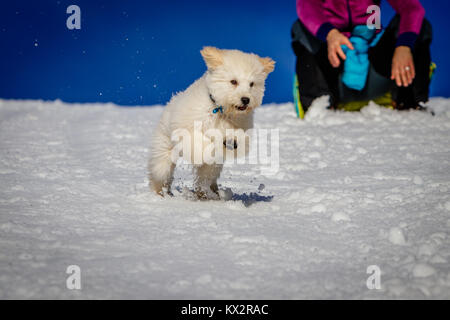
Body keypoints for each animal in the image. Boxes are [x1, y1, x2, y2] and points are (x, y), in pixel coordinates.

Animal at [149, 46, 274, 199]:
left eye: (252, 84)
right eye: (233, 81)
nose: (246, 99)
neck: (220, 110)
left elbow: (237, 140)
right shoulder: (188, 129)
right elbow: (199, 142)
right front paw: (205, 150)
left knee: (205, 178)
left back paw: (207, 192)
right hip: (163, 154)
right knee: (161, 173)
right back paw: (160, 193)